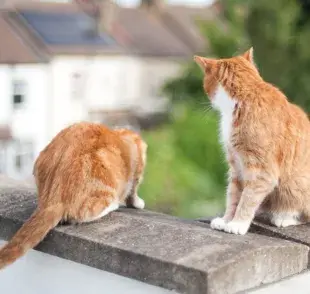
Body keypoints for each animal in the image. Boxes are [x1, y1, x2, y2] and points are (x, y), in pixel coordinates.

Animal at [0, 121, 147, 268]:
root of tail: (50, 199)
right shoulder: (137, 161)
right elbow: (133, 190)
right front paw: (136, 202)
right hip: (102, 189)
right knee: (82, 214)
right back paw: (112, 206)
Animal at [194, 48, 310, 235]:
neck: (244, 97)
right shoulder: (236, 167)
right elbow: (233, 197)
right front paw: (226, 220)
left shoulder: (262, 172)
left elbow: (247, 199)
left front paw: (238, 223)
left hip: (295, 184)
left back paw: (284, 217)